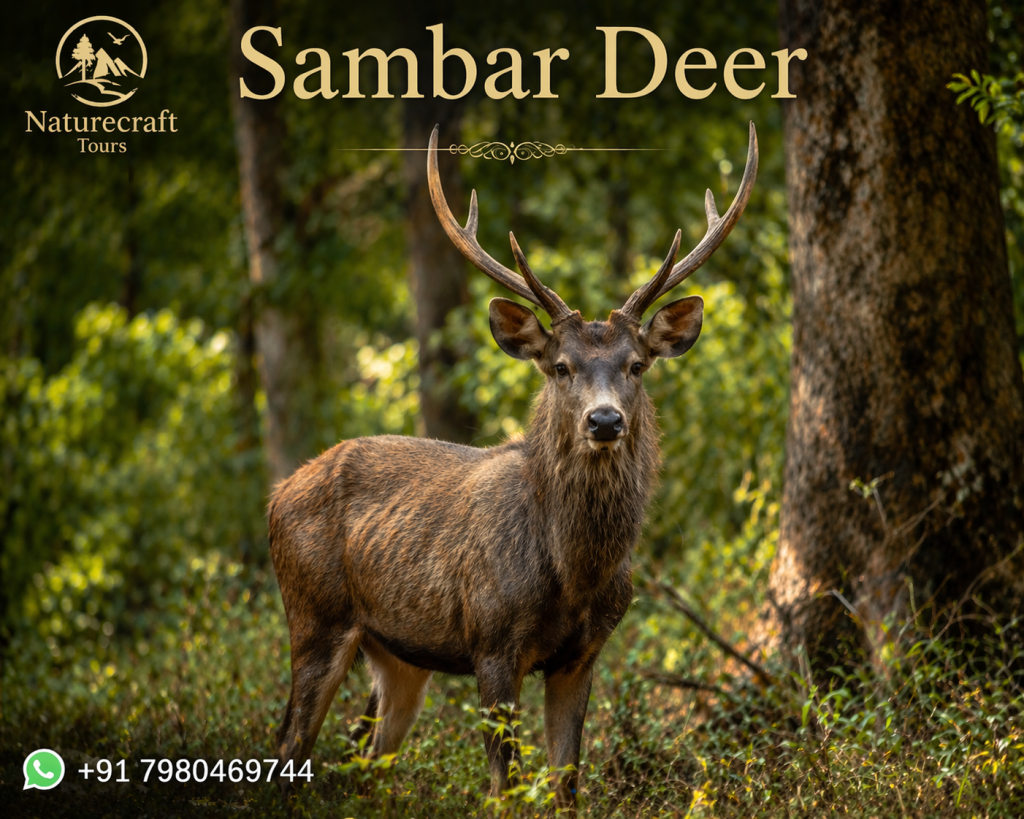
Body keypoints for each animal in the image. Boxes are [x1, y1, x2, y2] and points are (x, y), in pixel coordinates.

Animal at [268, 122, 757, 812]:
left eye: (637, 365)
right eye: (561, 366)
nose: (604, 421)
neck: (572, 573)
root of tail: (278, 493)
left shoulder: (584, 654)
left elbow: (566, 783)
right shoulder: (492, 642)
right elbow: (506, 788)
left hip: (396, 654)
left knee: (364, 756)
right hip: (315, 613)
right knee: (290, 742)